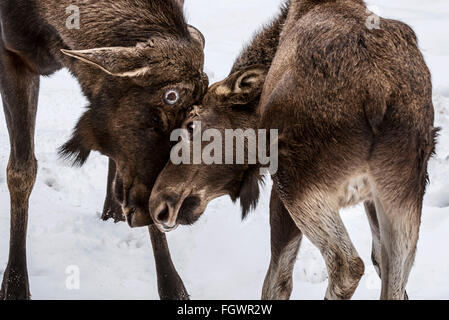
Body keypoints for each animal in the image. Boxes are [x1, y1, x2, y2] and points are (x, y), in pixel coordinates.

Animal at [0, 0, 206, 300]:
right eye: (169, 98)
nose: (172, 215)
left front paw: (174, 288)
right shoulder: (12, 53)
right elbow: (21, 172)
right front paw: (14, 285)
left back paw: (112, 212)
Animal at [149, 0, 436, 300]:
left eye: (190, 124)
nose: (157, 204)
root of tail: (380, 96)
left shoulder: (281, 189)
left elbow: (276, 281)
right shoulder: (372, 199)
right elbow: (383, 263)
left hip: (300, 184)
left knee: (347, 265)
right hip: (403, 190)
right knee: (394, 276)